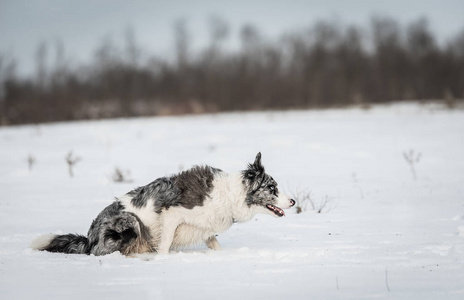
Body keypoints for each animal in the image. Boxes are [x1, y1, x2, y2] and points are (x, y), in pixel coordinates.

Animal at [31, 152, 294, 255]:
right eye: (272, 189)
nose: (292, 201)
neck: (232, 194)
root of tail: (88, 239)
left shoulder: (206, 226)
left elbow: (214, 243)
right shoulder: (171, 214)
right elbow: (165, 245)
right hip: (130, 222)